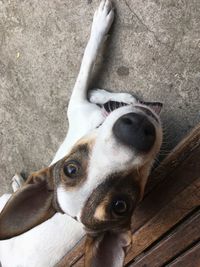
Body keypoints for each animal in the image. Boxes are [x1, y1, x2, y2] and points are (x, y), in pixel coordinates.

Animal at [0, 1, 162, 266]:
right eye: (120, 205)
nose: (136, 130)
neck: (95, 125)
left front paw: (112, 97)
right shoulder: (77, 104)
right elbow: (89, 57)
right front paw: (101, 23)